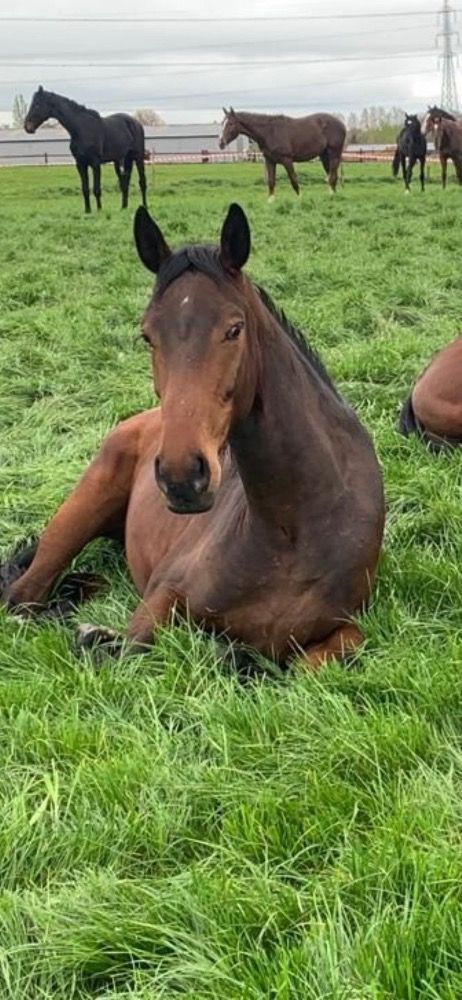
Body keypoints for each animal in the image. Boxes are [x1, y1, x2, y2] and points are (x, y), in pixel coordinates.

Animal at [0, 204, 384, 669]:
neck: (292, 529)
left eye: (234, 329)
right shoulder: (161, 597)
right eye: (147, 334)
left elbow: (312, 661)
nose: (182, 477)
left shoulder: (346, 629)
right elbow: (130, 648)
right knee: (22, 600)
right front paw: (96, 635)